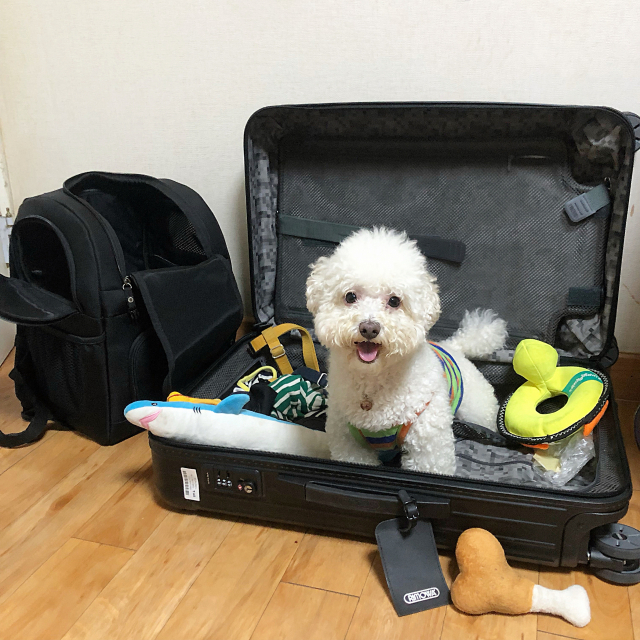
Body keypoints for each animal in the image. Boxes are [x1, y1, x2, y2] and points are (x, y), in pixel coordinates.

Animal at [308, 229, 508, 476]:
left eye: (395, 301)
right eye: (350, 296)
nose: (369, 328)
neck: (374, 382)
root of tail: (455, 346)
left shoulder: (428, 443)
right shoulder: (349, 443)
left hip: (478, 409)